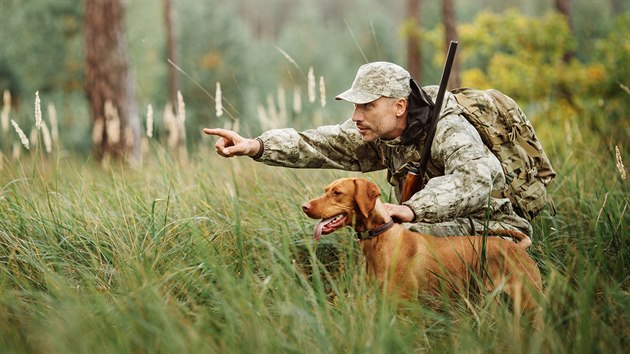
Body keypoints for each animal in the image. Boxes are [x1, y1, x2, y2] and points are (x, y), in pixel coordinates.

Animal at [302, 178, 544, 312]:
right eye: (325, 190)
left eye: (337, 193)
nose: (304, 206)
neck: (381, 238)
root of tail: (518, 248)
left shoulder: (406, 307)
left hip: (529, 302)